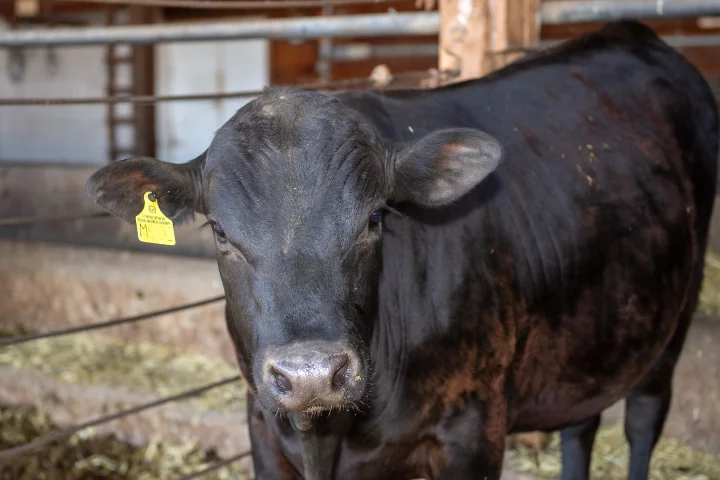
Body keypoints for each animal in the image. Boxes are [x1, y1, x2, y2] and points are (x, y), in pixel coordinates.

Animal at [85, 21, 719, 480]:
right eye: (218, 231)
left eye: (374, 219)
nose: (312, 375)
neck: (330, 436)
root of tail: (631, 32)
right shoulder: (263, 430)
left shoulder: (473, 430)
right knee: (580, 424)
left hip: (676, 313)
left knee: (644, 416)